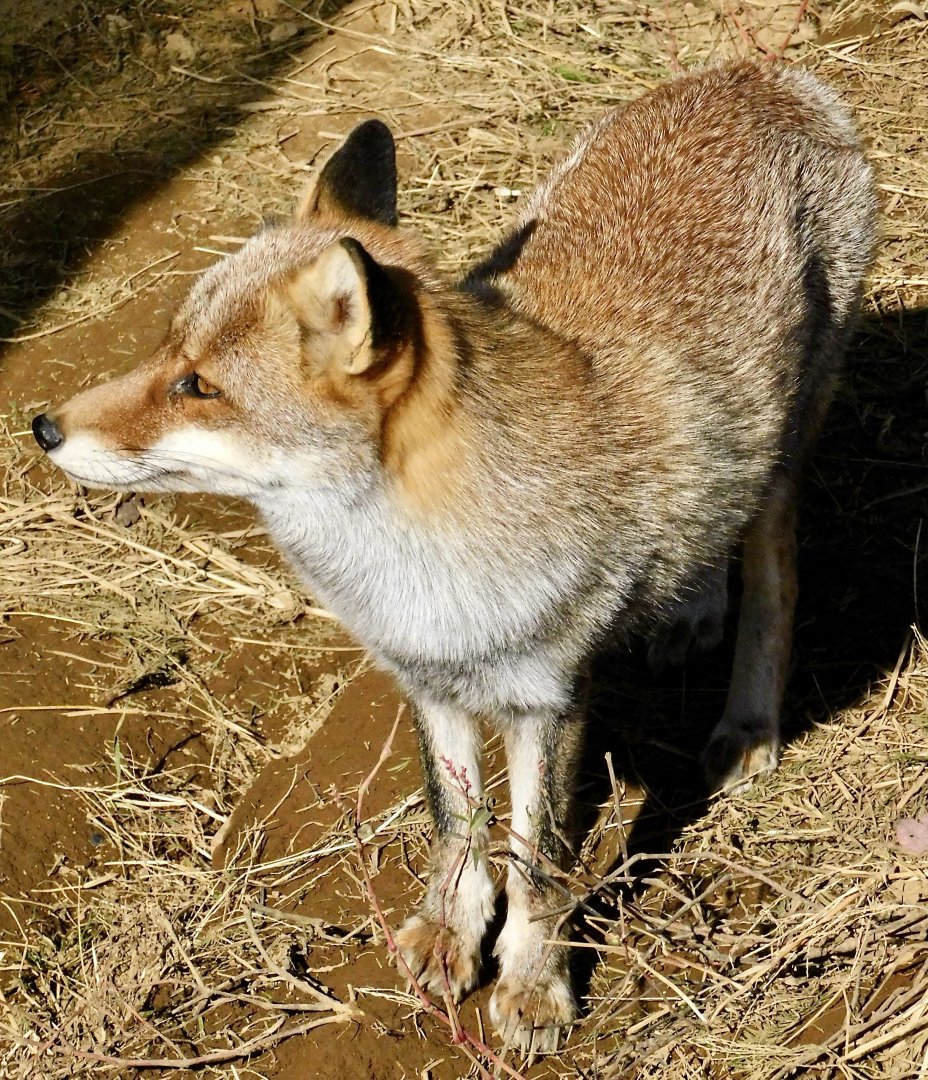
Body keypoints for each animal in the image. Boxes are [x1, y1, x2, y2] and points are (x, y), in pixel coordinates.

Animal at [33, 61, 875, 1052]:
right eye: (168, 348)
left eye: (199, 386)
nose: (43, 427)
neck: (412, 563)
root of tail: (760, 74)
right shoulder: (428, 672)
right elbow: (458, 825)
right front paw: (452, 931)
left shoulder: (549, 696)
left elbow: (540, 863)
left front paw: (536, 982)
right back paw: (693, 605)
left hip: (785, 451)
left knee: (774, 575)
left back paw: (749, 721)